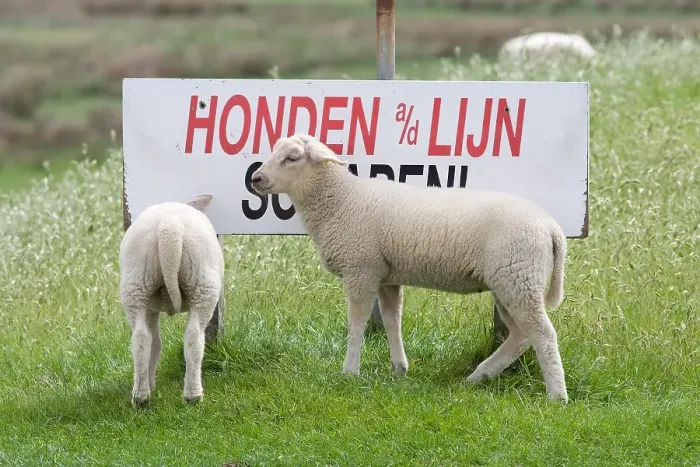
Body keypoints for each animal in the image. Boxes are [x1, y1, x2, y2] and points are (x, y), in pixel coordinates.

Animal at [118, 193, 224, 406]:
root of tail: (169, 229)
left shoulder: (151, 307)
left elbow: (155, 342)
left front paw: (150, 383)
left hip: (137, 284)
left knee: (141, 338)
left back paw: (141, 396)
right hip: (203, 283)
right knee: (194, 337)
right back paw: (193, 395)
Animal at [250, 134, 569, 403]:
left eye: (292, 157)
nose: (255, 178)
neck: (341, 201)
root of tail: (552, 228)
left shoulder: (360, 269)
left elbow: (356, 324)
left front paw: (350, 371)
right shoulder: (385, 275)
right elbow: (393, 319)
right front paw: (399, 368)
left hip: (519, 278)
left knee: (542, 334)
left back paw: (556, 395)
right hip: (510, 282)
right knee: (521, 336)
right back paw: (480, 375)